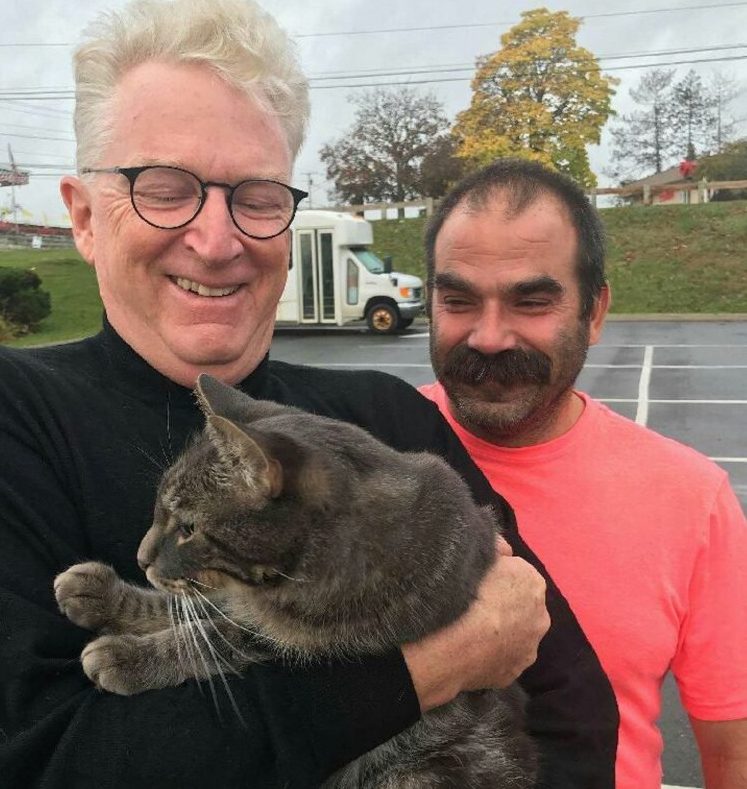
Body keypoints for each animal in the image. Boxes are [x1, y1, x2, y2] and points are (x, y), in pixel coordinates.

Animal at [57, 372, 536, 784]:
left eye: (188, 528)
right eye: (160, 509)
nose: (140, 558)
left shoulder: (298, 639)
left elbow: (209, 639)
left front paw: (128, 656)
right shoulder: (240, 600)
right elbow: (189, 607)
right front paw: (101, 594)